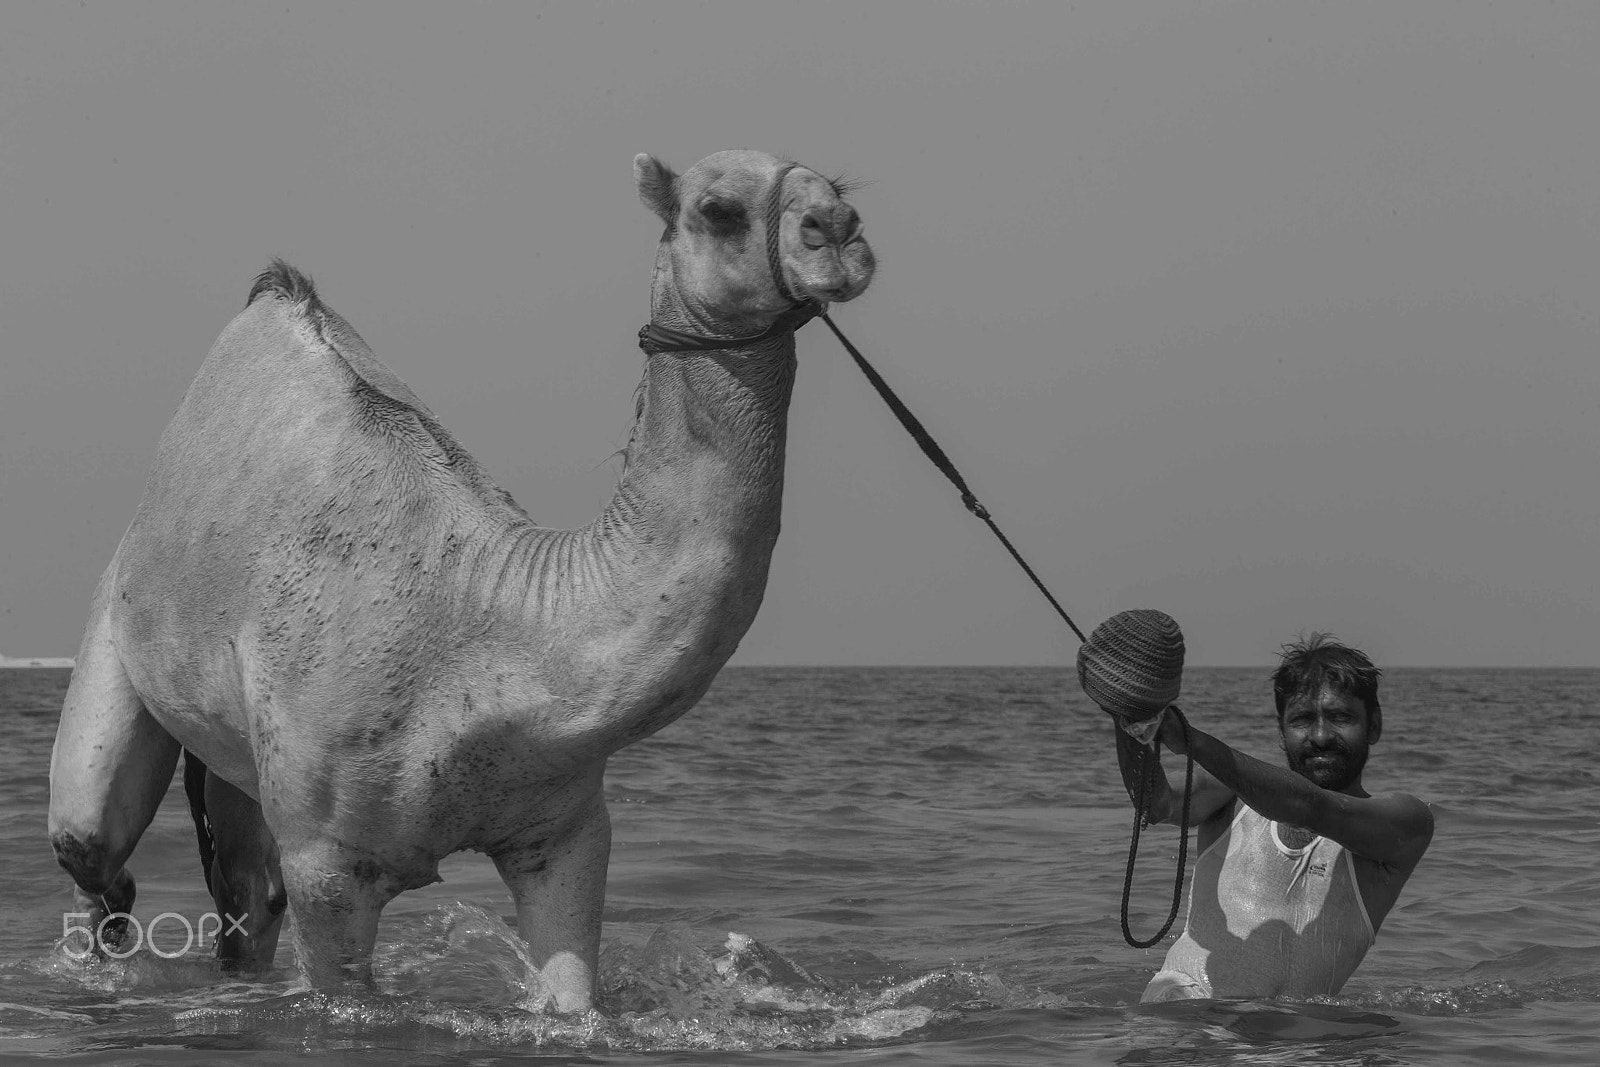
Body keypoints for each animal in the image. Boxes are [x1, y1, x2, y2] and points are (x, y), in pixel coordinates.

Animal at [48, 148, 874, 1011]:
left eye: (839, 189)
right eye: (718, 209)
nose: (838, 231)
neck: (489, 625)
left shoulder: (565, 831)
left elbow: (574, 996)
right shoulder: (328, 861)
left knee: (244, 890)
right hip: (114, 624)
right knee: (94, 853)